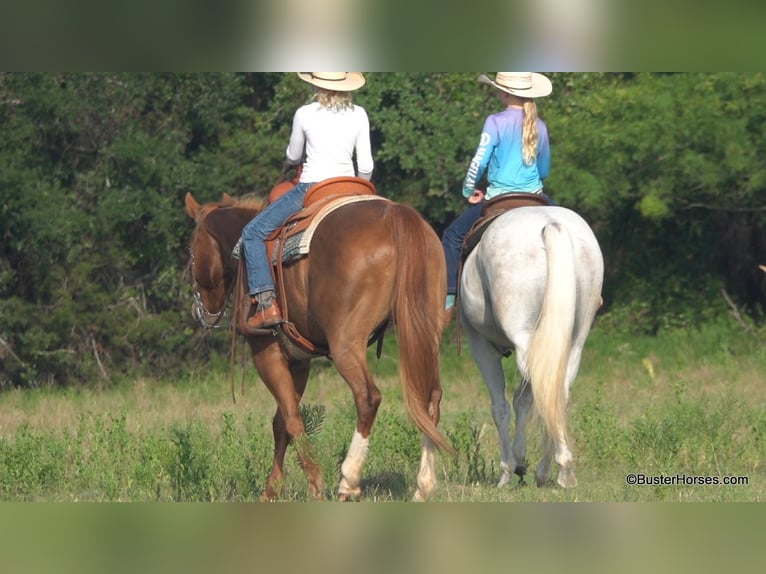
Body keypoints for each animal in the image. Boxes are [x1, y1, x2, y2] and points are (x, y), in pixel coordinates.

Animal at [184, 191, 452, 502]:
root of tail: (394, 216)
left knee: (368, 397)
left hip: (346, 344)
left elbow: (291, 418)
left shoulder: (267, 353)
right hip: (426, 332)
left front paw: (313, 482)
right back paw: (423, 486)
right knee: (430, 399)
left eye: (192, 252)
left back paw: (348, 480)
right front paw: (272, 489)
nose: (200, 310)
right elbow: (281, 423)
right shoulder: (299, 361)